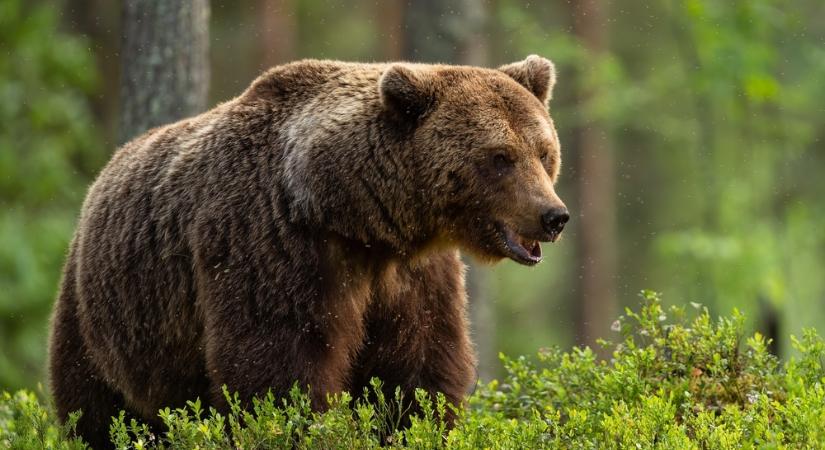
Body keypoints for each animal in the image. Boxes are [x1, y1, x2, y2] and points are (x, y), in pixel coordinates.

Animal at [48, 55, 568, 446]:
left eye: (544, 152)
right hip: (105, 317)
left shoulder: (411, 276)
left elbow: (418, 370)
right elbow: (278, 371)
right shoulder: (274, 245)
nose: (554, 215)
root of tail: (100, 179)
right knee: (95, 409)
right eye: (500, 157)